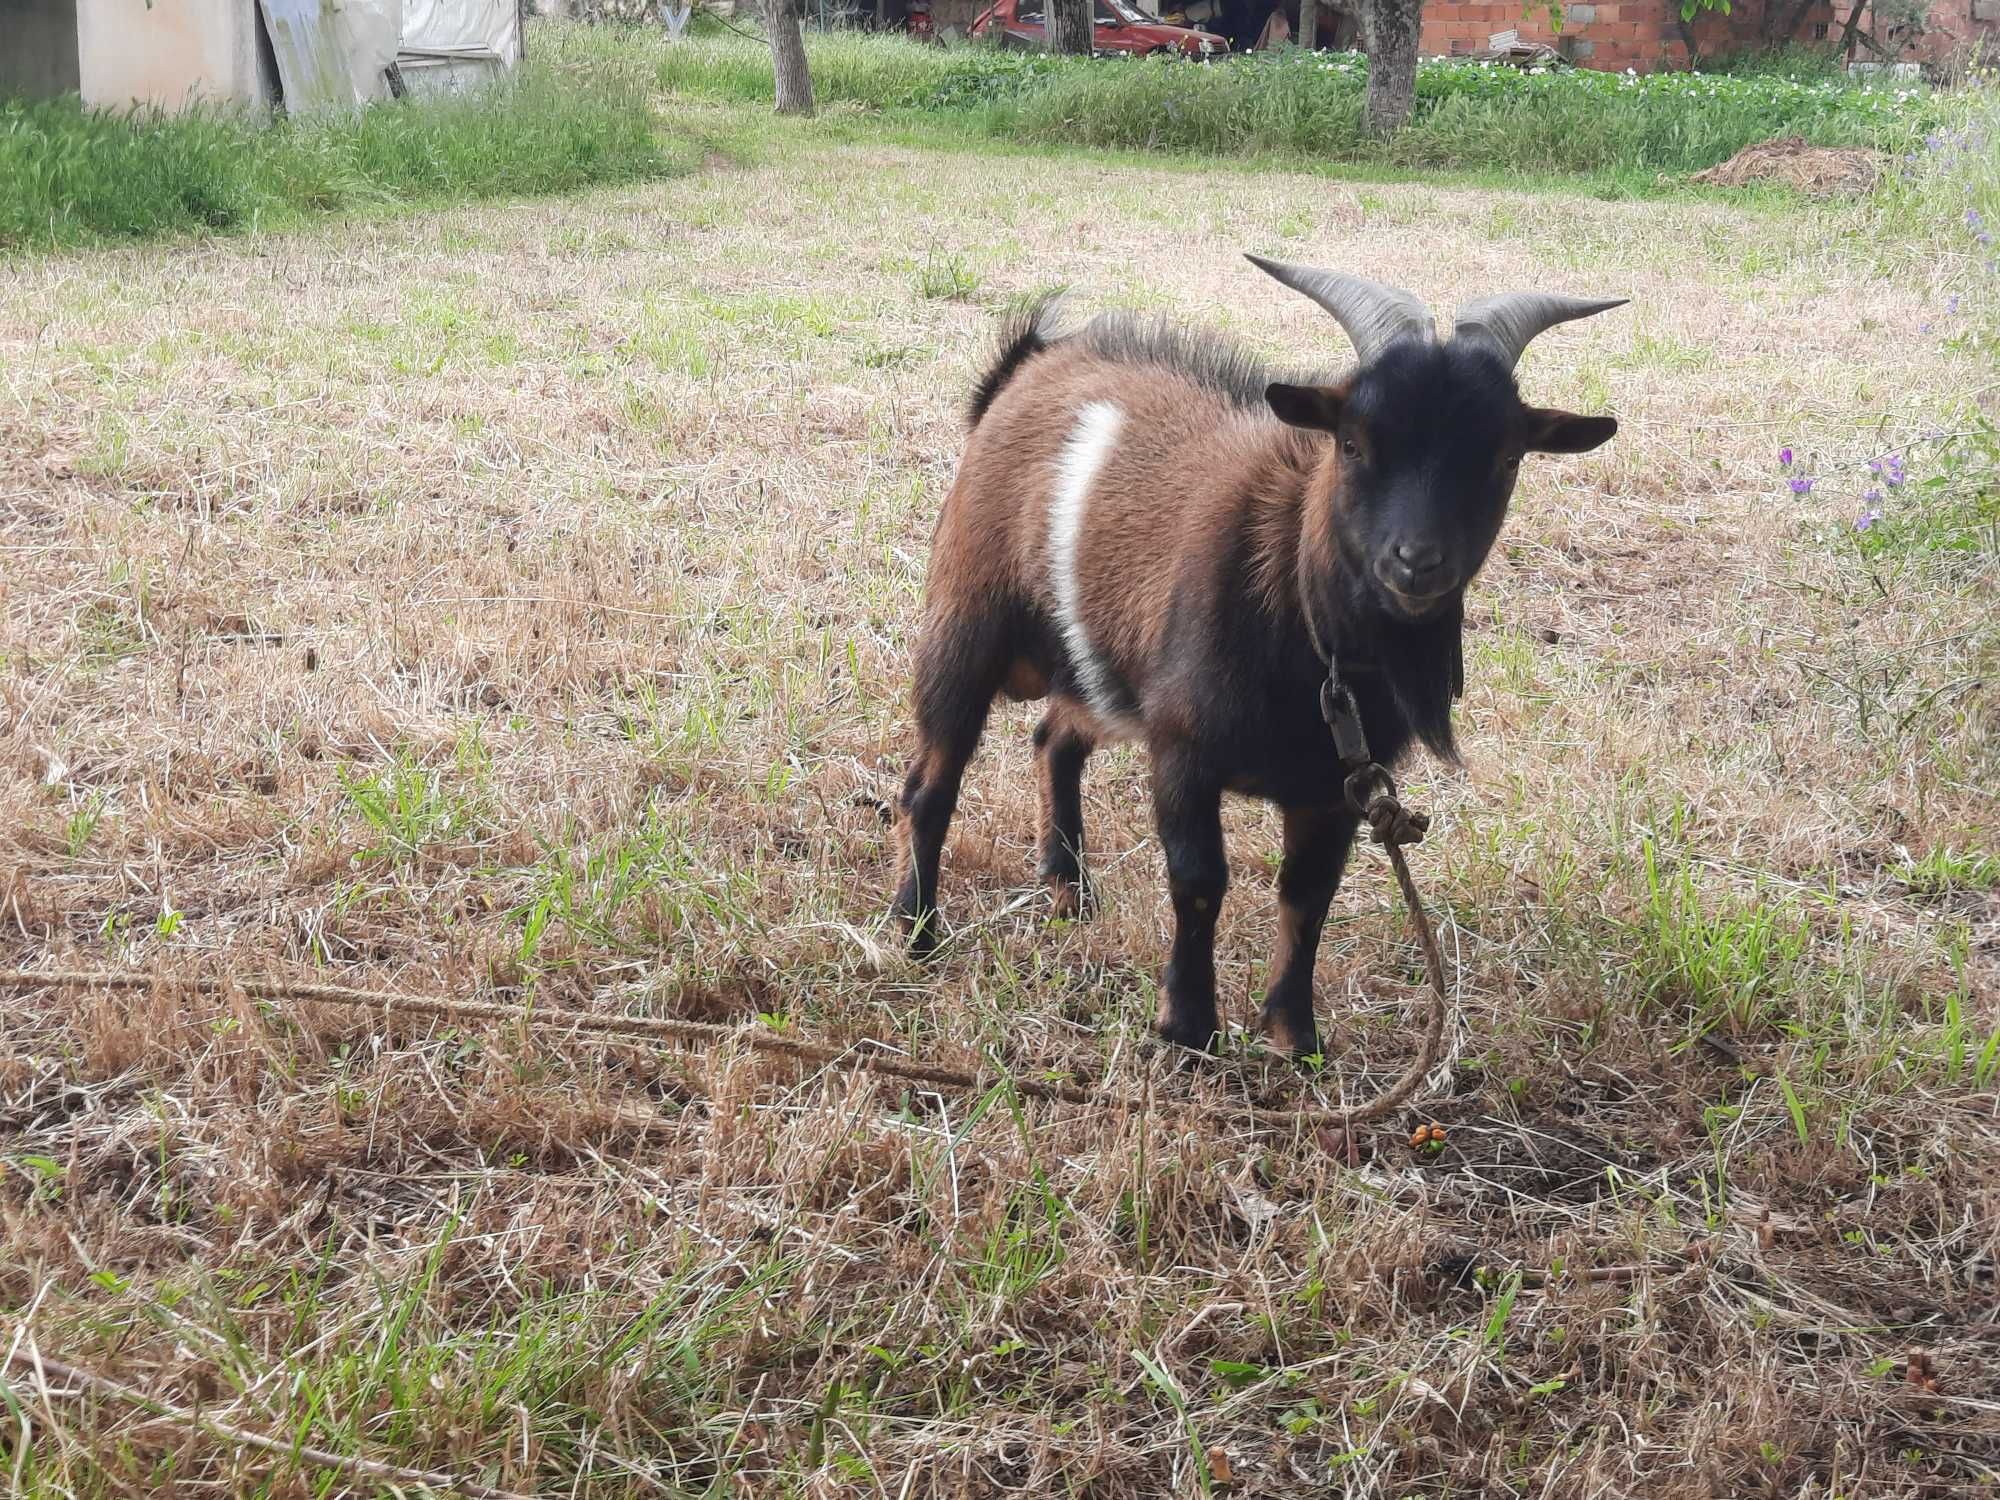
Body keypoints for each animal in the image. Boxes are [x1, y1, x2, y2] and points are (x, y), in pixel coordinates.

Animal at [892, 258, 1624, 1056]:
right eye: (1352, 442)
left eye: (1504, 455)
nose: (1416, 563)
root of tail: (1024, 368)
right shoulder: (1182, 751)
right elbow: (1199, 882)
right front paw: (1187, 1027)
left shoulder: (1337, 789)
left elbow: (1308, 897)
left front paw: (1295, 1036)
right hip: (964, 626)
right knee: (931, 784)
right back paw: (916, 929)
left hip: (1099, 666)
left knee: (1054, 738)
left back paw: (1070, 891)